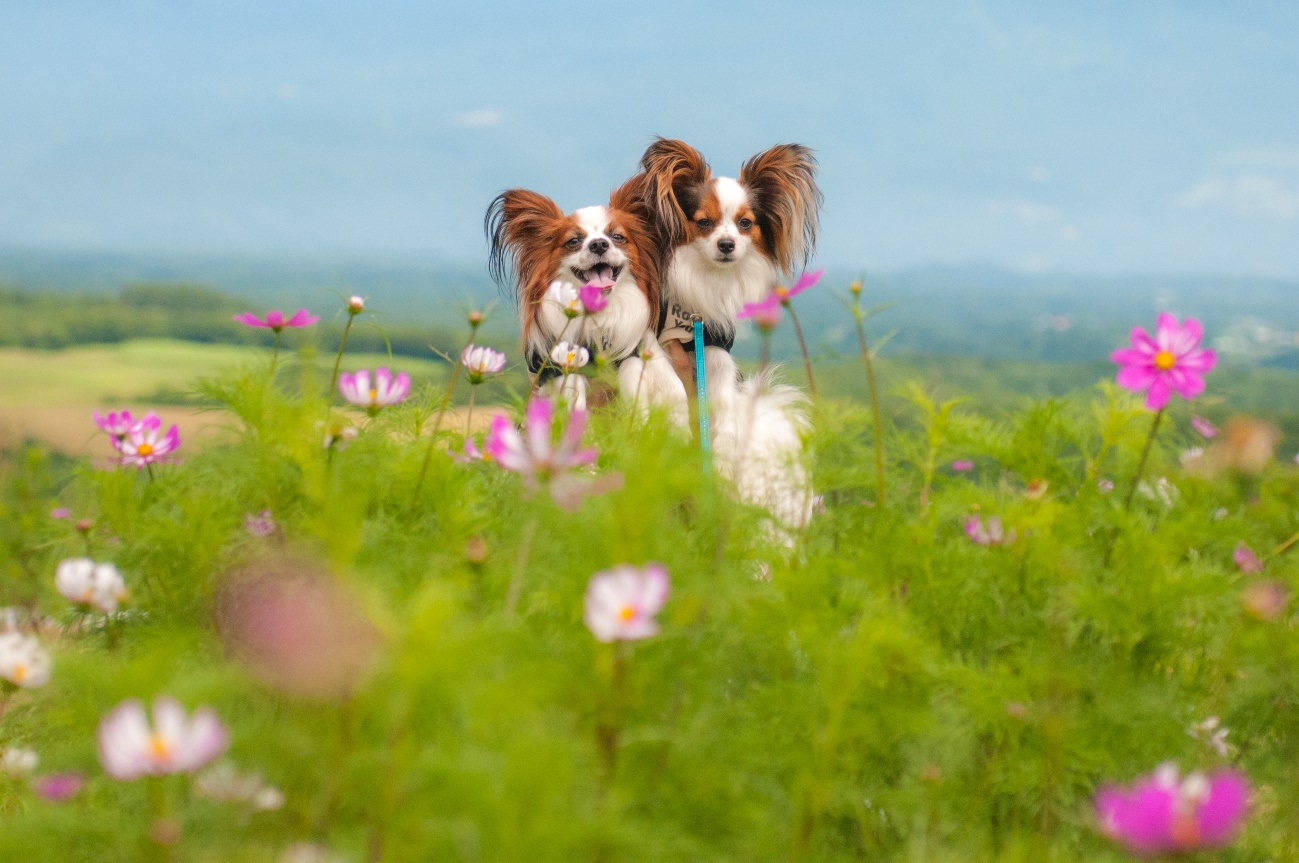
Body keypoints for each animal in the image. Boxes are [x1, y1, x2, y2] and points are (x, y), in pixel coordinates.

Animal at [488, 181, 691, 423]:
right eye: (574, 241)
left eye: (617, 237)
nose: (599, 244)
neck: (599, 313)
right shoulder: (564, 367)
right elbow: (574, 406)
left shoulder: (631, 359)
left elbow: (636, 407)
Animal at [628, 138, 820, 535]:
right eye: (704, 222)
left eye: (746, 224)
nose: (727, 244)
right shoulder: (650, 338)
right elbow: (667, 381)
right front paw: (677, 424)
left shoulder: (714, 349)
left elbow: (720, 408)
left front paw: (719, 461)